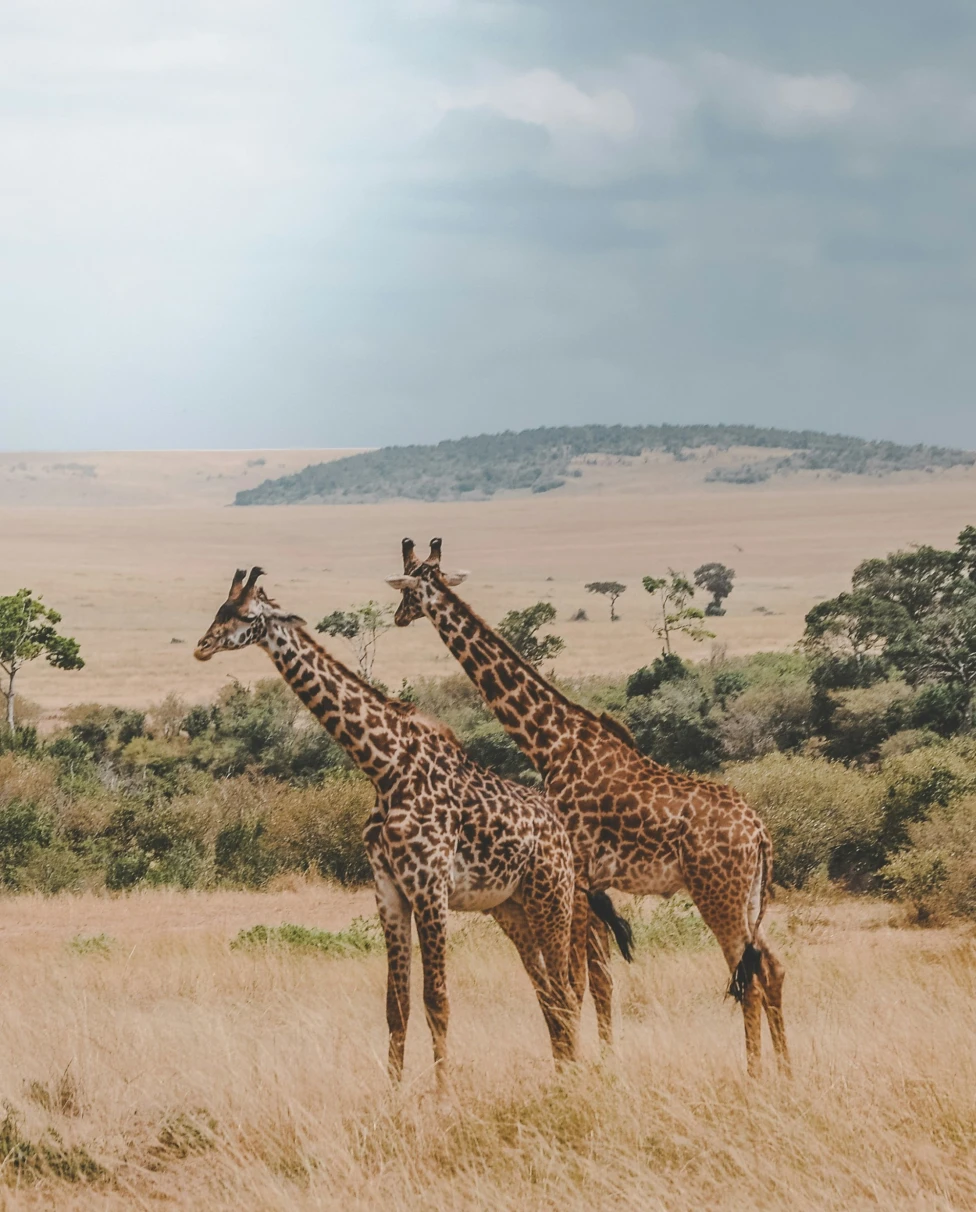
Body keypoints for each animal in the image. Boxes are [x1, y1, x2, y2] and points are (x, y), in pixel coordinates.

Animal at [194, 567, 582, 1089]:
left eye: (246, 614)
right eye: (220, 608)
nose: (202, 646)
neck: (385, 767)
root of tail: (561, 832)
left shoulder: (430, 887)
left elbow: (437, 1000)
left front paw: (442, 1094)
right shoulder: (389, 891)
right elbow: (395, 1005)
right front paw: (394, 1093)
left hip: (551, 898)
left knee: (566, 992)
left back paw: (577, 1080)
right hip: (511, 907)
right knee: (548, 993)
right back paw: (563, 1078)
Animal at [387, 539, 790, 1077]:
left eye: (409, 587)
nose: (397, 617)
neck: (550, 741)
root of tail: (760, 834)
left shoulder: (575, 874)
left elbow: (575, 983)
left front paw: (578, 1067)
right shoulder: (592, 883)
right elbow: (596, 980)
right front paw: (600, 1062)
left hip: (717, 895)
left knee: (745, 977)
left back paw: (753, 1074)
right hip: (746, 897)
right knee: (771, 966)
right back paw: (786, 1071)